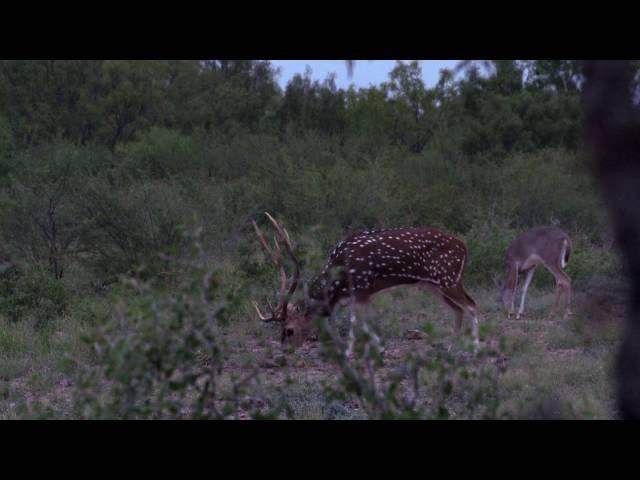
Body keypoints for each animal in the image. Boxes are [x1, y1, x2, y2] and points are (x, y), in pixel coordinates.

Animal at [251, 212, 480, 354]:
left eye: (289, 330)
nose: (284, 351)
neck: (339, 283)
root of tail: (465, 248)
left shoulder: (361, 286)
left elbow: (355, 321)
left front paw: (349, 351)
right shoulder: (364, 293)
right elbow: (363, 321)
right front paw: (380, 347)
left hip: (448, 278)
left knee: (472, 305)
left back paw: (476, 348)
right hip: (433, 285)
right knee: (458, 309)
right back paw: (451, 348)